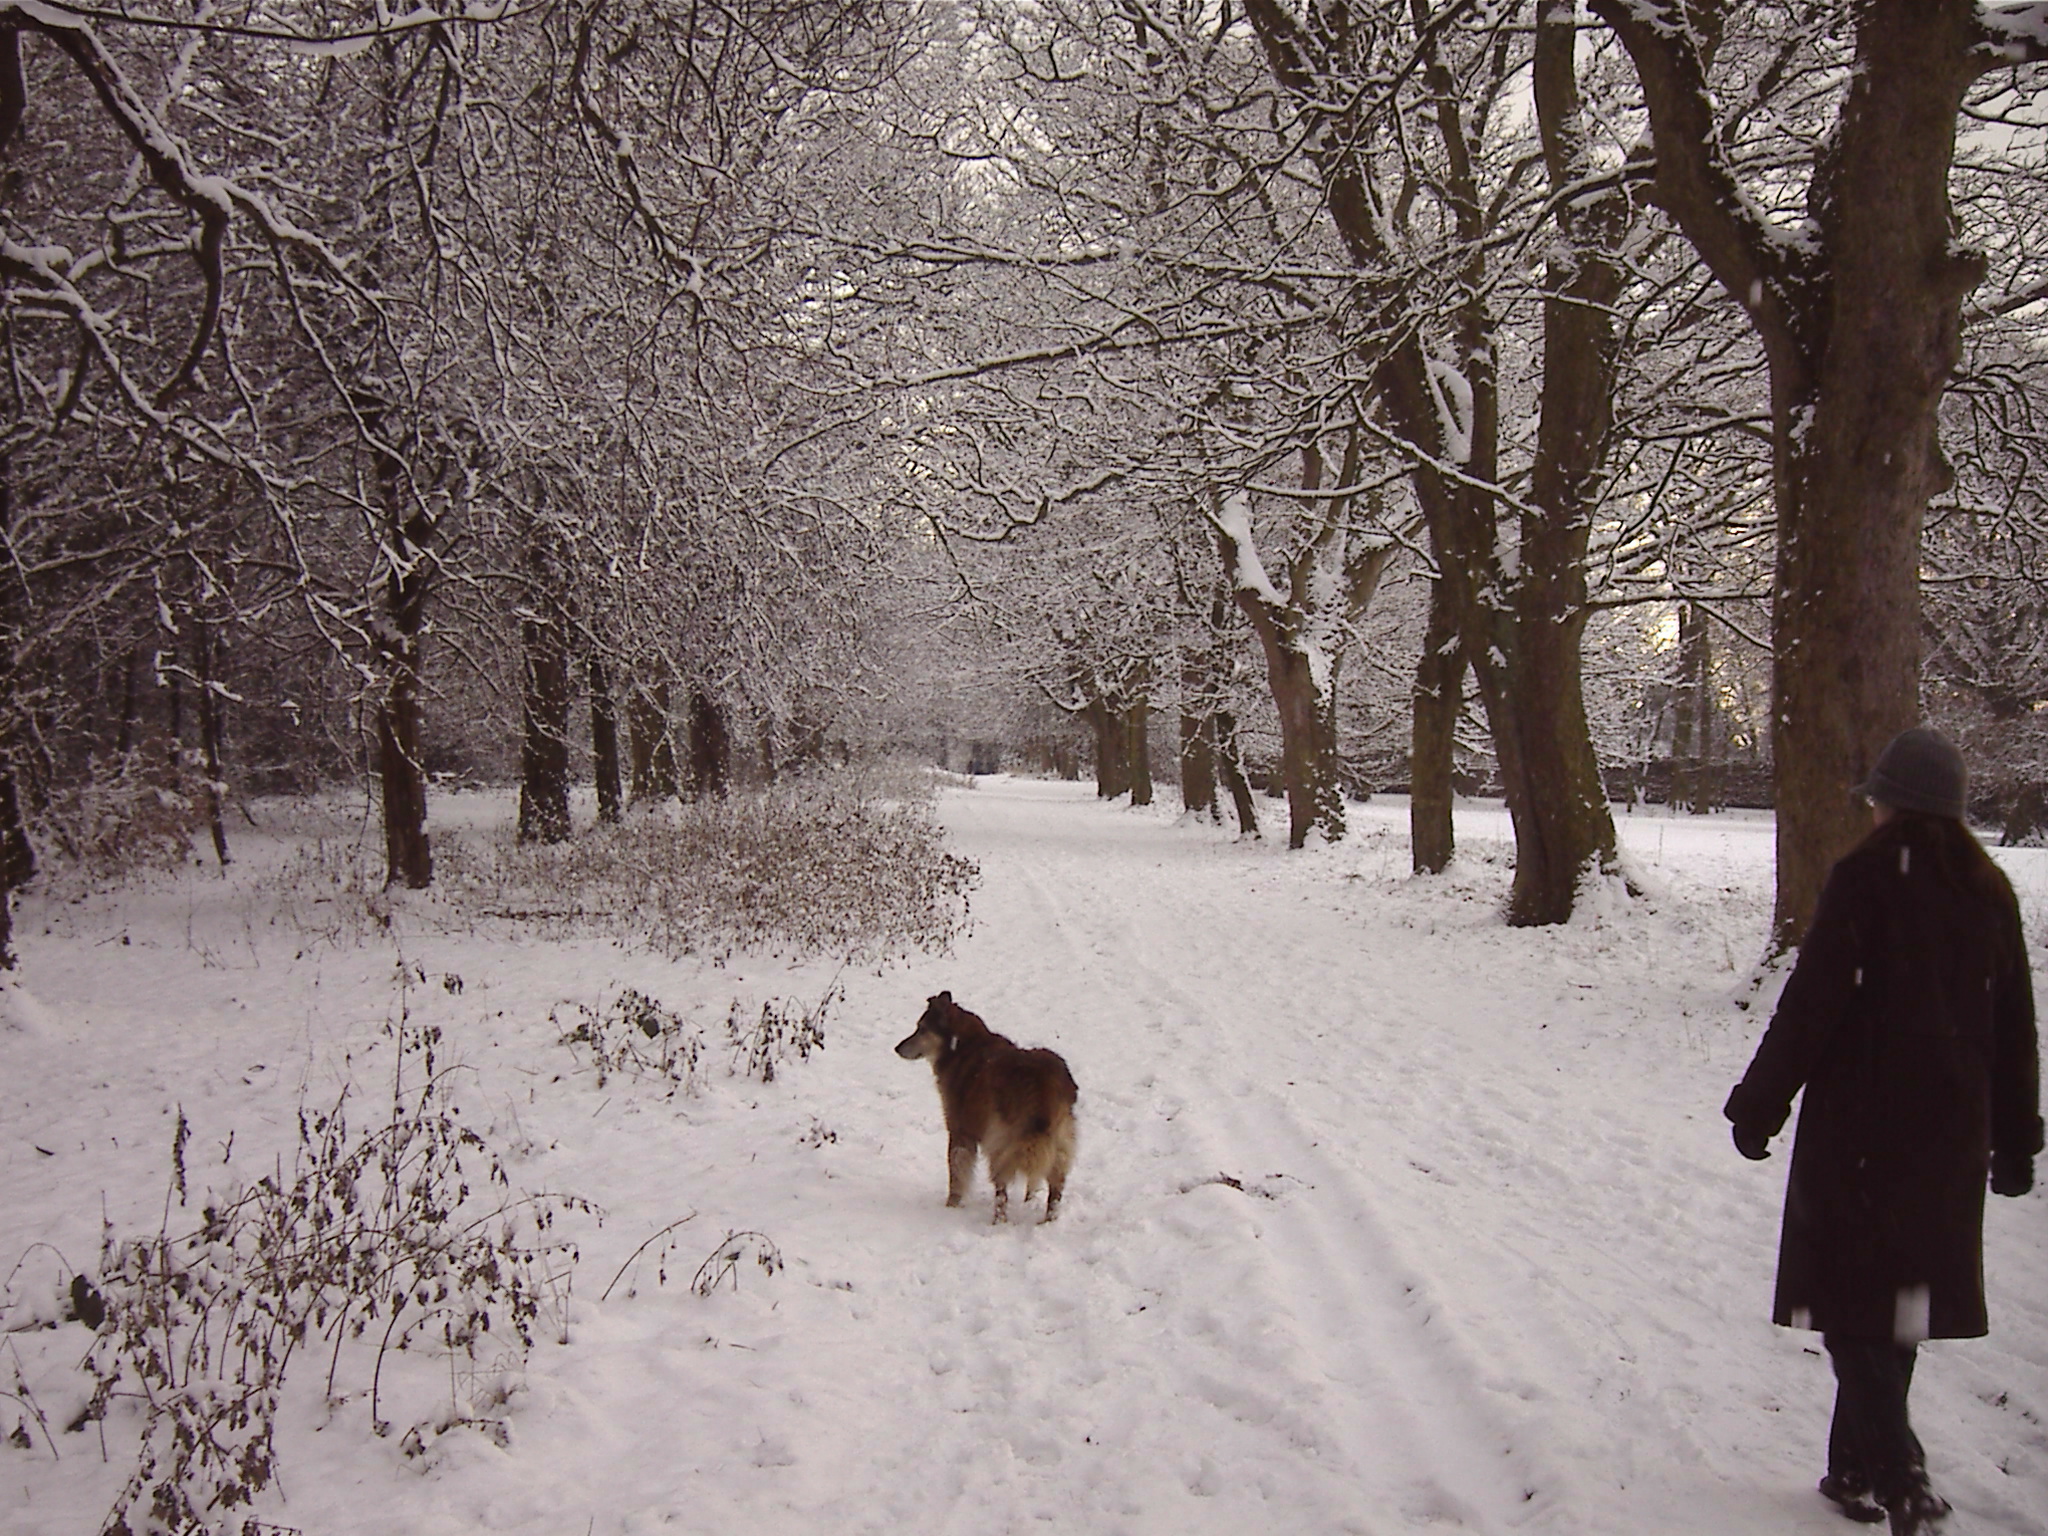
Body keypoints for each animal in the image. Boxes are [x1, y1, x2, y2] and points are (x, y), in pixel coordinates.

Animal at [901, 999, 1089, 1228]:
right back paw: (1048, 1222)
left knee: (1002, 1193)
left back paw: (999, 1221)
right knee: (1055, 1189)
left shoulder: (959, 1131)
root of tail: (1043, 1085)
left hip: (1002, 1144)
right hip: (1057, 1143)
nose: (897, 1048)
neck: (964, 1046)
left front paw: (951, 1205)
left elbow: (956, 1174)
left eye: (921, 1029)